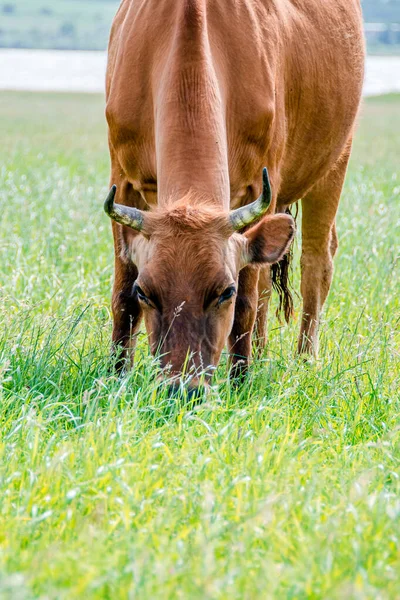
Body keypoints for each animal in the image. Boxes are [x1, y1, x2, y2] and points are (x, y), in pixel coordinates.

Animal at [104, 0, 366, 394]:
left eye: (223, 291)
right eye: (146, 292)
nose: (183, 389)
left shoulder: (261, 183)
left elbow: (247, 299)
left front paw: (241, 380)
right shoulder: (122, 178)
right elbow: (121, 294)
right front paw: (115, 375)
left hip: (335, 162)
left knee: (315, 262)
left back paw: (304, 362)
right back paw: (263, 353)